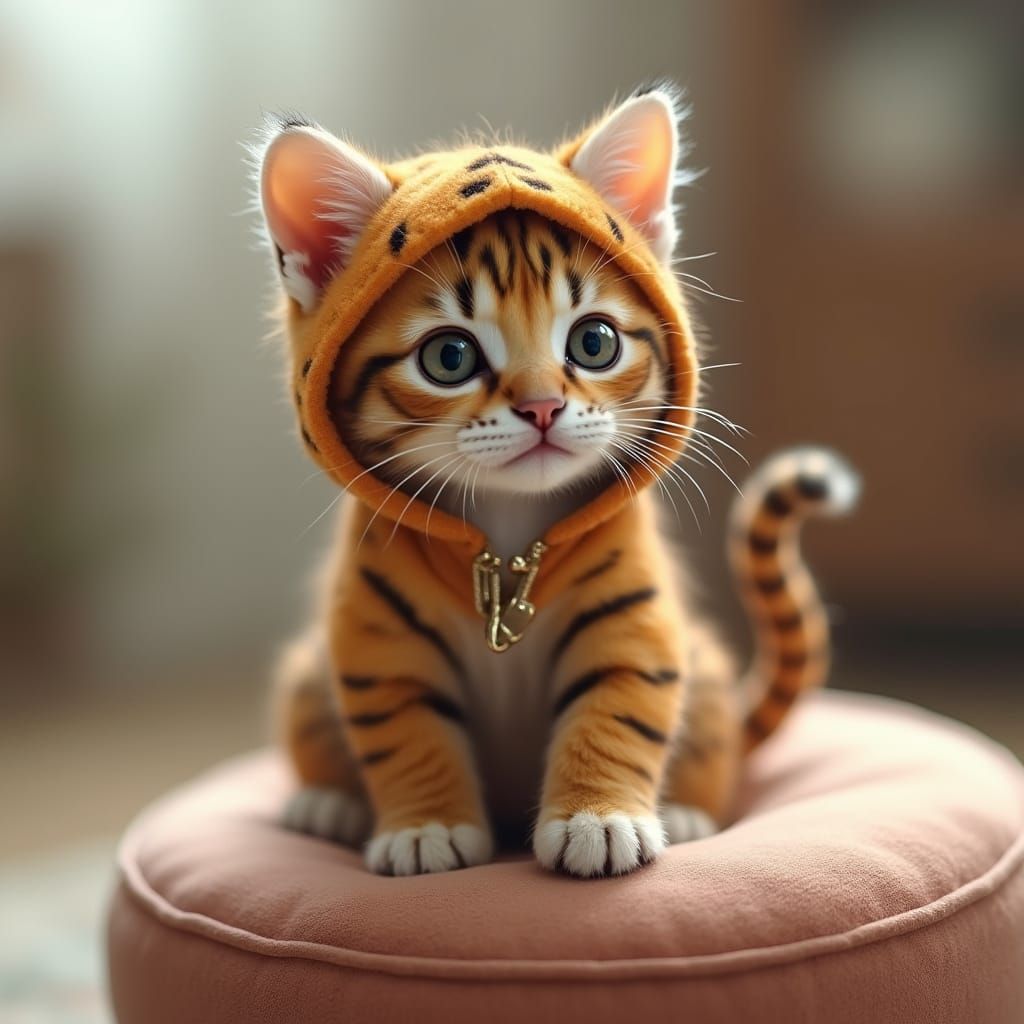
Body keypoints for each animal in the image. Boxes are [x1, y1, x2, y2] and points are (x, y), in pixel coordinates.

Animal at [251, 85, 859, 878]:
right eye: (449, 357)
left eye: (593, 342)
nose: (542, 407)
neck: (507, 537)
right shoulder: (376, 636)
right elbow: (404, 730)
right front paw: (426, 827)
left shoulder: (634, 612)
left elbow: (619, 708)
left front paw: (598, 818)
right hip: (305, 674)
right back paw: (327, 803)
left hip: (707, 668)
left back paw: (687, 812)